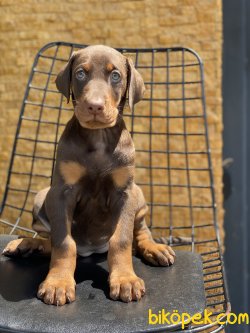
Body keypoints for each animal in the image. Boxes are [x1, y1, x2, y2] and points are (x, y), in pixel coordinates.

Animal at [2, 45, 174, 304]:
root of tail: (91, 249)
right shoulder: (61, 192)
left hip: (138, 194)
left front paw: (125, 279)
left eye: (116, 76)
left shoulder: (124, 193)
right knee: (51, 242)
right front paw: (58, 282)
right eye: (81, 73)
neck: (98, 137)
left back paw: (155, 248)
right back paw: (27, 244)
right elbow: (63, 243)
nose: (94, 106)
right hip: (43, 196)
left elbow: (122, 239)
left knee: (140, 231)